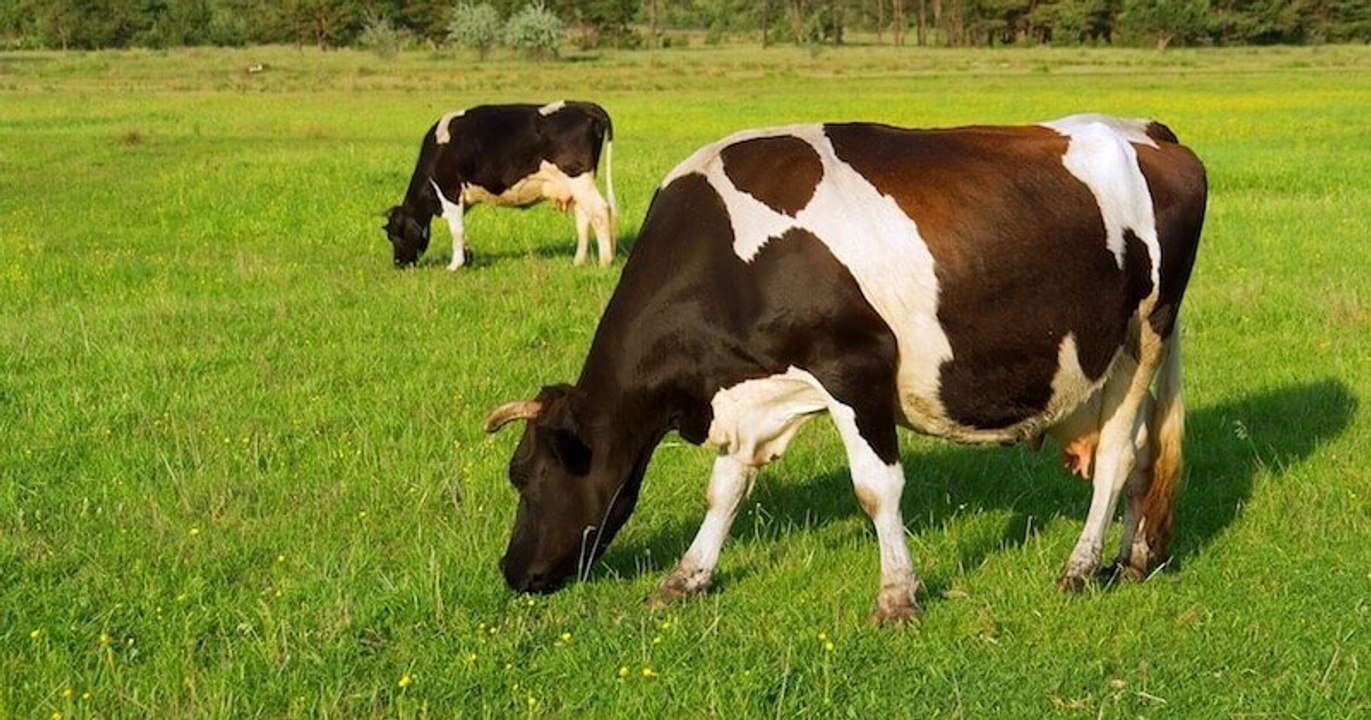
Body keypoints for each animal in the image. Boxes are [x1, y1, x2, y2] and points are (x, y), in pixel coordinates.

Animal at [383, 101, 617, 269]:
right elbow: (461, 228)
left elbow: (456, 229)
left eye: (394, 235)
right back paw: (578, 261)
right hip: (577, 185)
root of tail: (584, 106)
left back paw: (605, 261)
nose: (399, 265)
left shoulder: (449, 190)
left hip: (579, 179)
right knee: (584, 217)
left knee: (599, 211)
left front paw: (454, 265)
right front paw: (467, 258)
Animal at [483, 114, 1207, 623]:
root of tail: (1147, 130)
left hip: (1145, 331)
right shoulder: (753, 389)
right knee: (1147, 451)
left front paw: (897, 598)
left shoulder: (854, 368)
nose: (513, 573)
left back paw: (1080, 567)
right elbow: (726, 489)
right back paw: (1134, 558)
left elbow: (876, 488)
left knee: (1117, 455)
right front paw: (686, 578)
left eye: (526, 475)